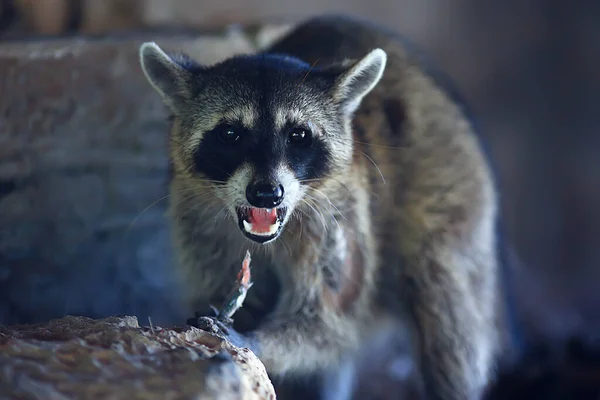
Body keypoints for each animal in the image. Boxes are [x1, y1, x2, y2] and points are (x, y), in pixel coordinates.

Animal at [138, 14, 516, 398]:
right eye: (230, 134)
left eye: (299, 135)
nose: (266, 194)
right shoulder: (199, 224)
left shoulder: (337, 218)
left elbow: (327, 325)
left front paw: (252, 340)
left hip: (449, 188)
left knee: (444, 305)